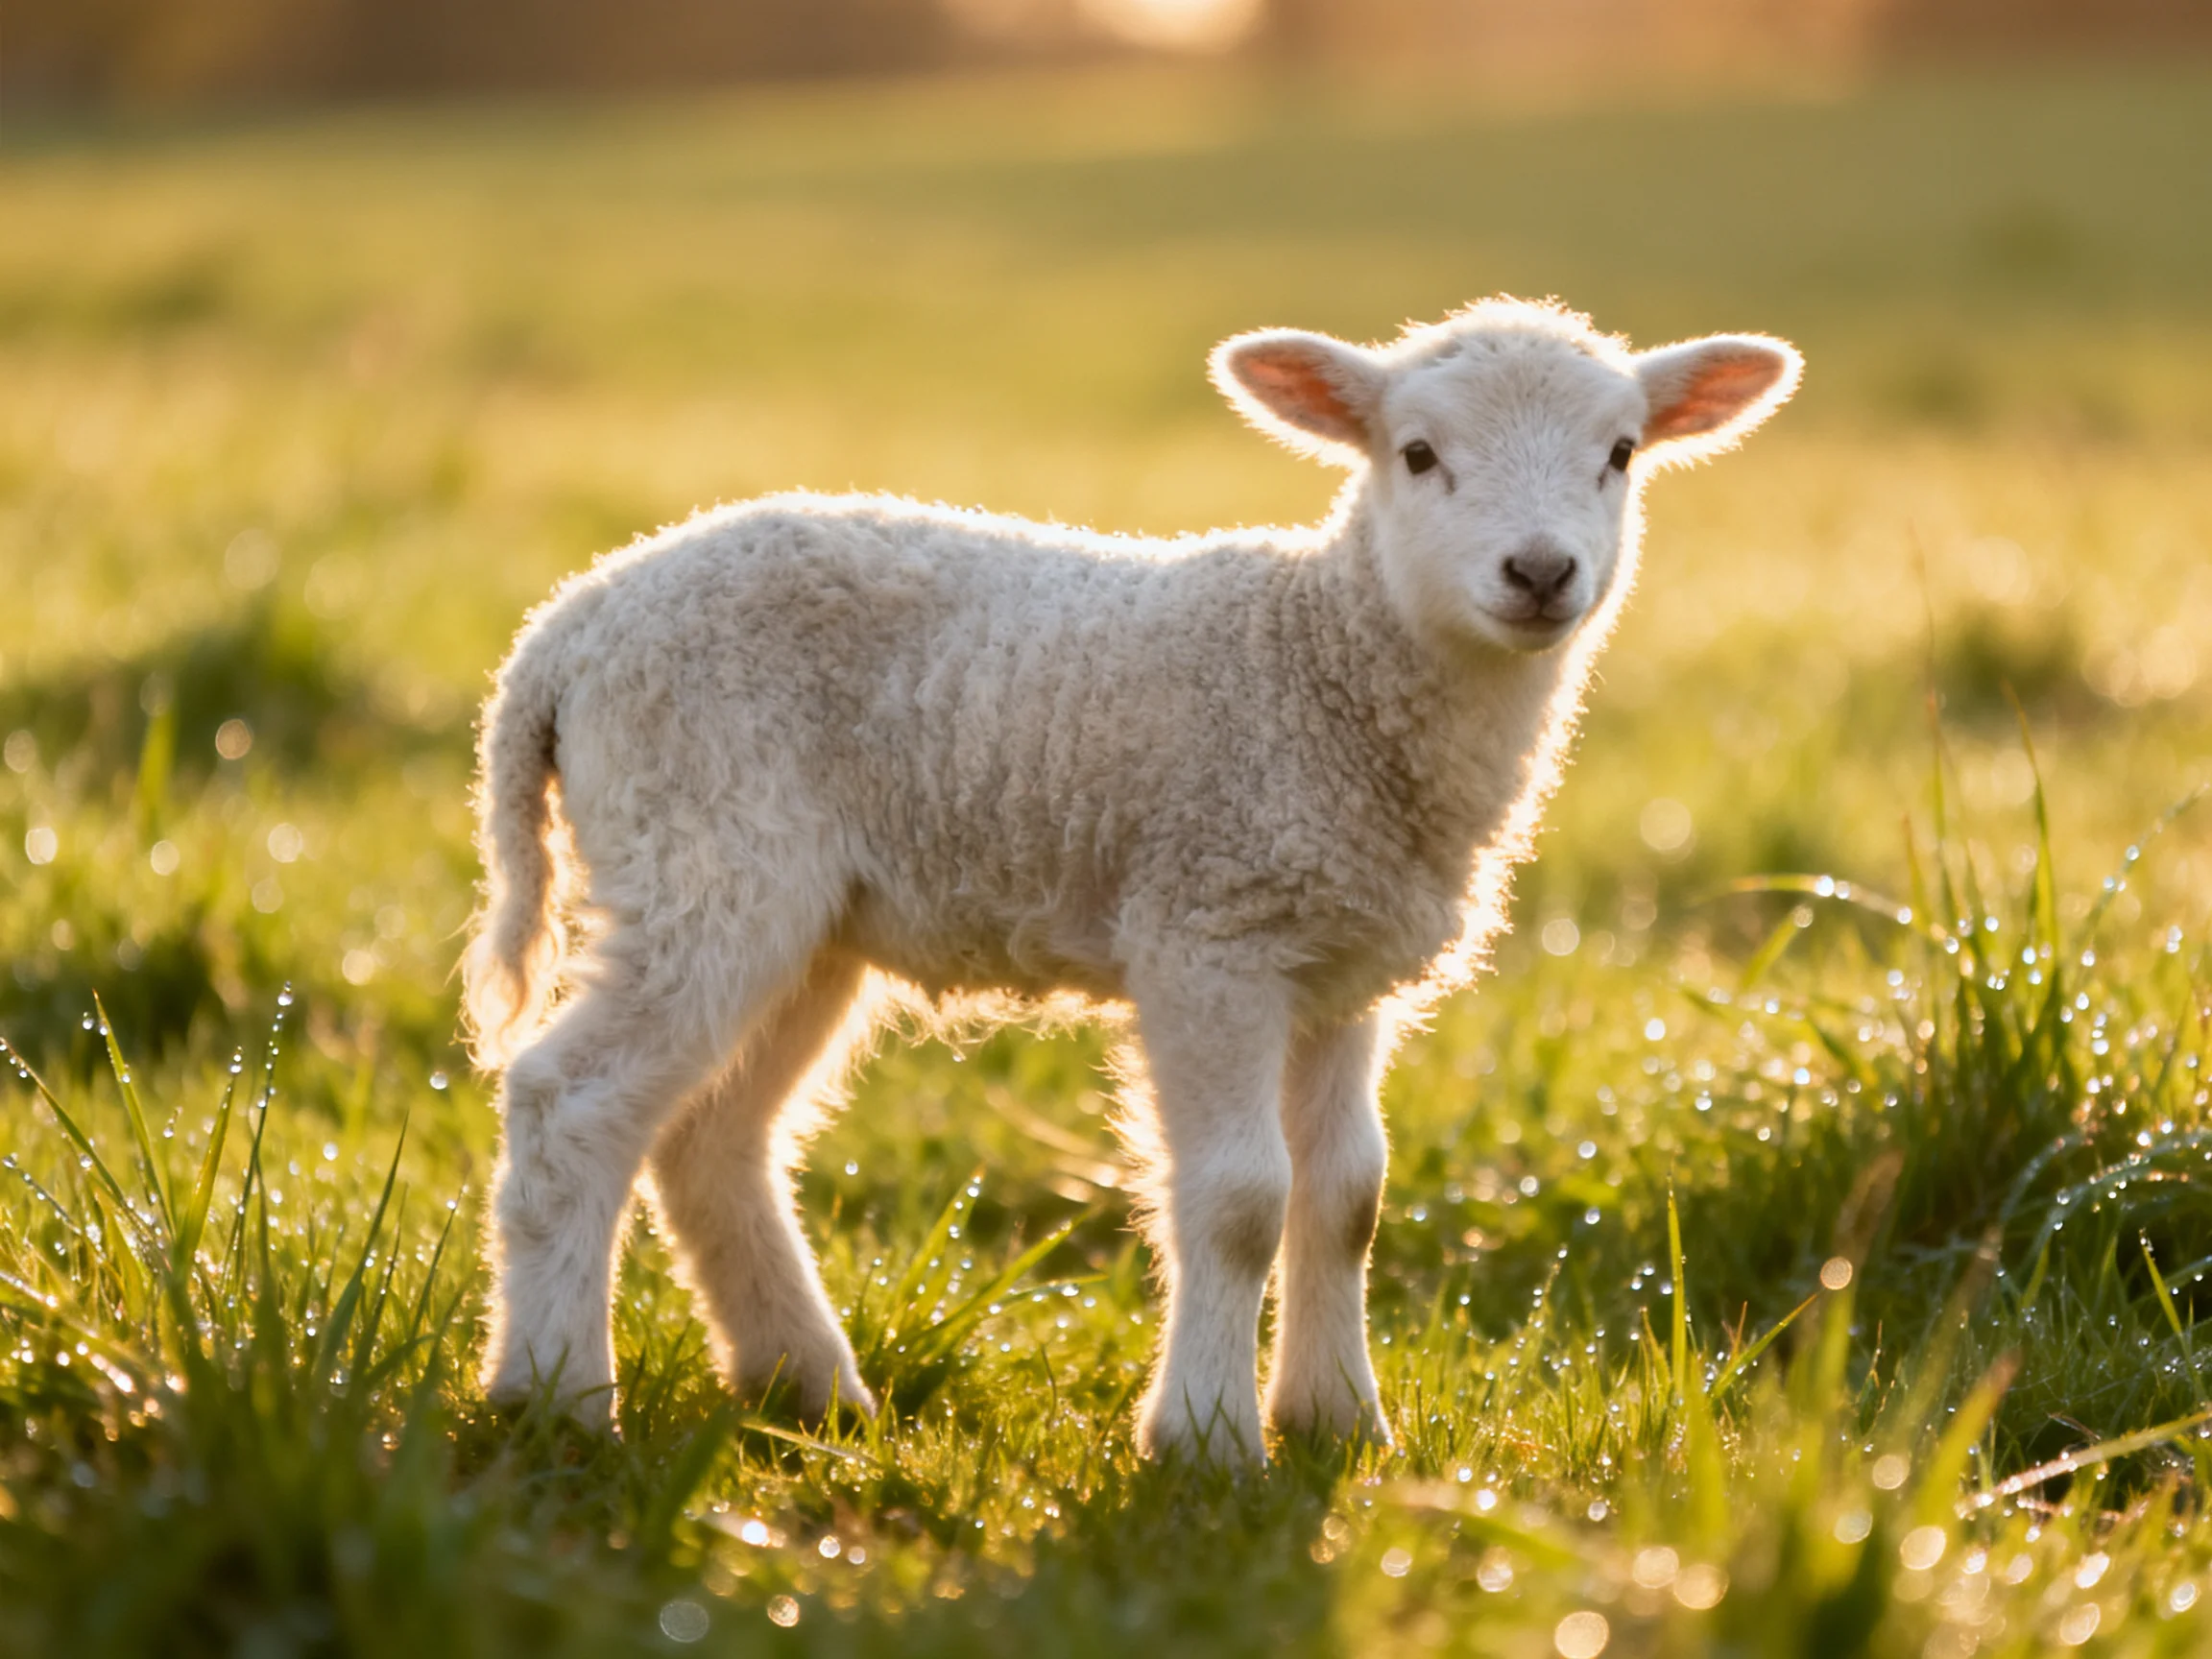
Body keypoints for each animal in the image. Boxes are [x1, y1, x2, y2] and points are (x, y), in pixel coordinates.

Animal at [462, 296, 1800, 1463]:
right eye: (1418, 455)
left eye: (1620, 454)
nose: (1539, 572)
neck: (1324, 663)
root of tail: (564, 632)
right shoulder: (1210, 934)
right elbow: (1243, 1199)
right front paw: (1205, 1441)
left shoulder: (1341, 965)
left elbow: (1348, 1197)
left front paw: (1338, 1424)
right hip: (703, 849)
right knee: (571, 1104)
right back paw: (555, 1397)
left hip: (805, 917)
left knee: (712, 1138)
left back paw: (809, 1387)